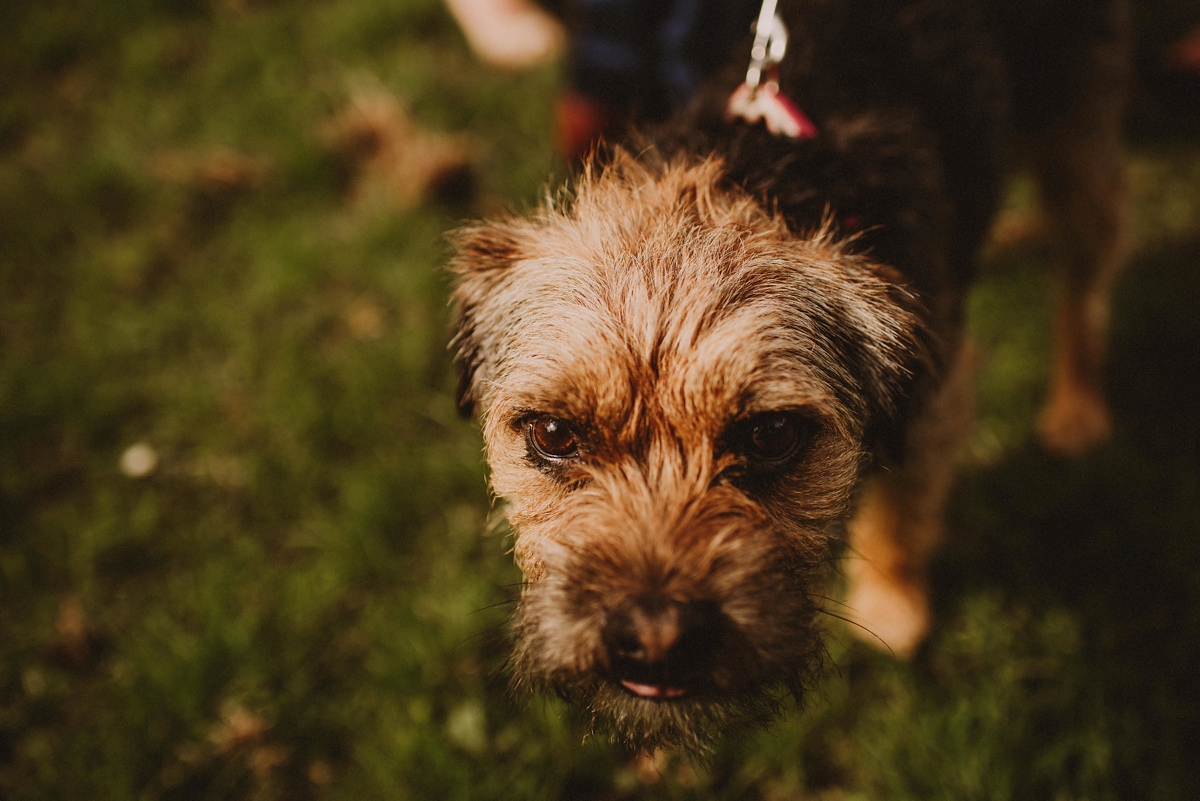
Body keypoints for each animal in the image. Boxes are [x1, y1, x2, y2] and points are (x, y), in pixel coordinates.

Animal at [446, 0, 1128, 753]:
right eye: (553, 434)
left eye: (771, 435)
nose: (656, 638)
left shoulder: (934, 397)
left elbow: (900, 509)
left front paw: (892, 605)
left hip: (1076, 131)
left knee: (1087, 277)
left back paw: (1077, 408)